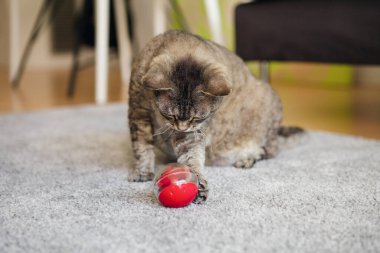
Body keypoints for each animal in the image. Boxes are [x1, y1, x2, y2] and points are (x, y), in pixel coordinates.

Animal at [129, 30, 302, 204]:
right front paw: (143, 172)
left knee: (269, 150)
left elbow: (192, 157)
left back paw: (247, 159)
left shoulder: (191, 134)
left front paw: (197, 182)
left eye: (196, 118)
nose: (182, 127)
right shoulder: (138, 114)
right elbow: (142, 148)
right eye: (171, 115)